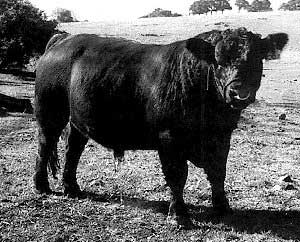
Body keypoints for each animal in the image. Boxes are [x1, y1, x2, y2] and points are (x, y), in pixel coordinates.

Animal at [33, 28, 288, 227]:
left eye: (256, 58)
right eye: (218, 60)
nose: (239, 92)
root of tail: (63, 39)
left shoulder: (222, 137)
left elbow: (218, 172)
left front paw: (222, 207)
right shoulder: (170, 140)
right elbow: (177, 176)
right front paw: (179, 216)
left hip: (78, 121)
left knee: (73, 150)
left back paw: (72, 188)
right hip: (50, 112)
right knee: (45, 145)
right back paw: (41, 186)